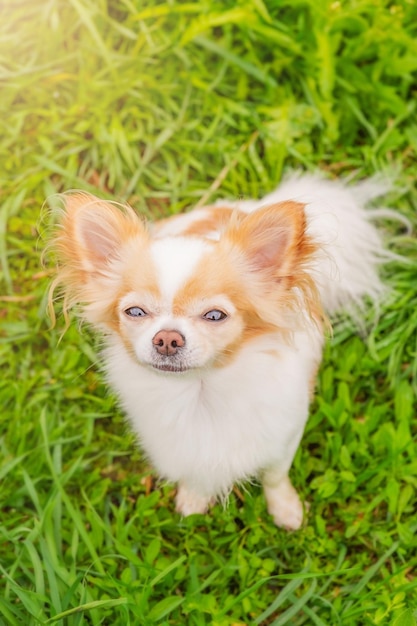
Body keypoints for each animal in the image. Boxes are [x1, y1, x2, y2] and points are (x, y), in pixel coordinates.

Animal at [49, 174, 390, 528]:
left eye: (215, 315)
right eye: (135, 312)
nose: (167, 339)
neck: (202, 391)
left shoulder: (284, 437)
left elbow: (275, 477)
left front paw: (285, 510)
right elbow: (198, 475)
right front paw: (194, 500)